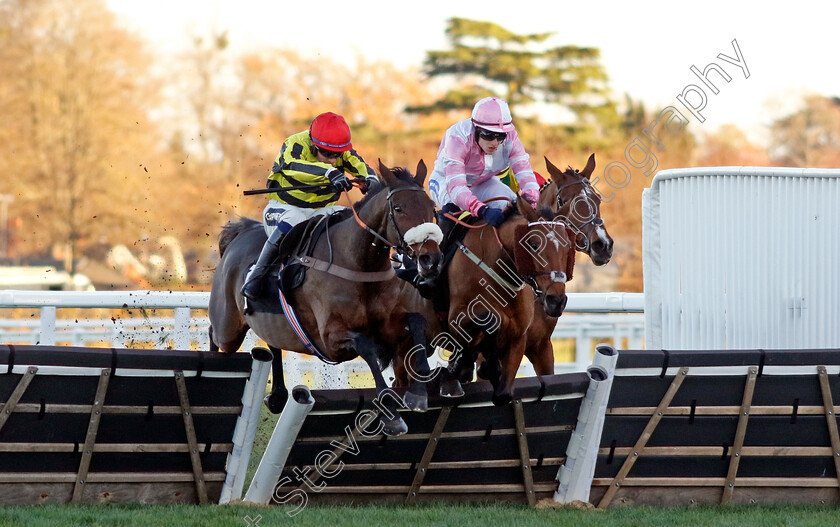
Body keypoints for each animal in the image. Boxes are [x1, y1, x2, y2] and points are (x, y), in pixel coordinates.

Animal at [209, 162, 442, 438]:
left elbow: (417, 322)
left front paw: (418, 391)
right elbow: (366, 345)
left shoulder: (388, 325)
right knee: (214, 333)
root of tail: (240, 232)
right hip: (228, 329)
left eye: (431, 207)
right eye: (398, 208)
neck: (359, 264)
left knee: (272, 343)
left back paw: (277, 395)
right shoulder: (330, 339)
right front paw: (392, 416)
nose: (431, 259)